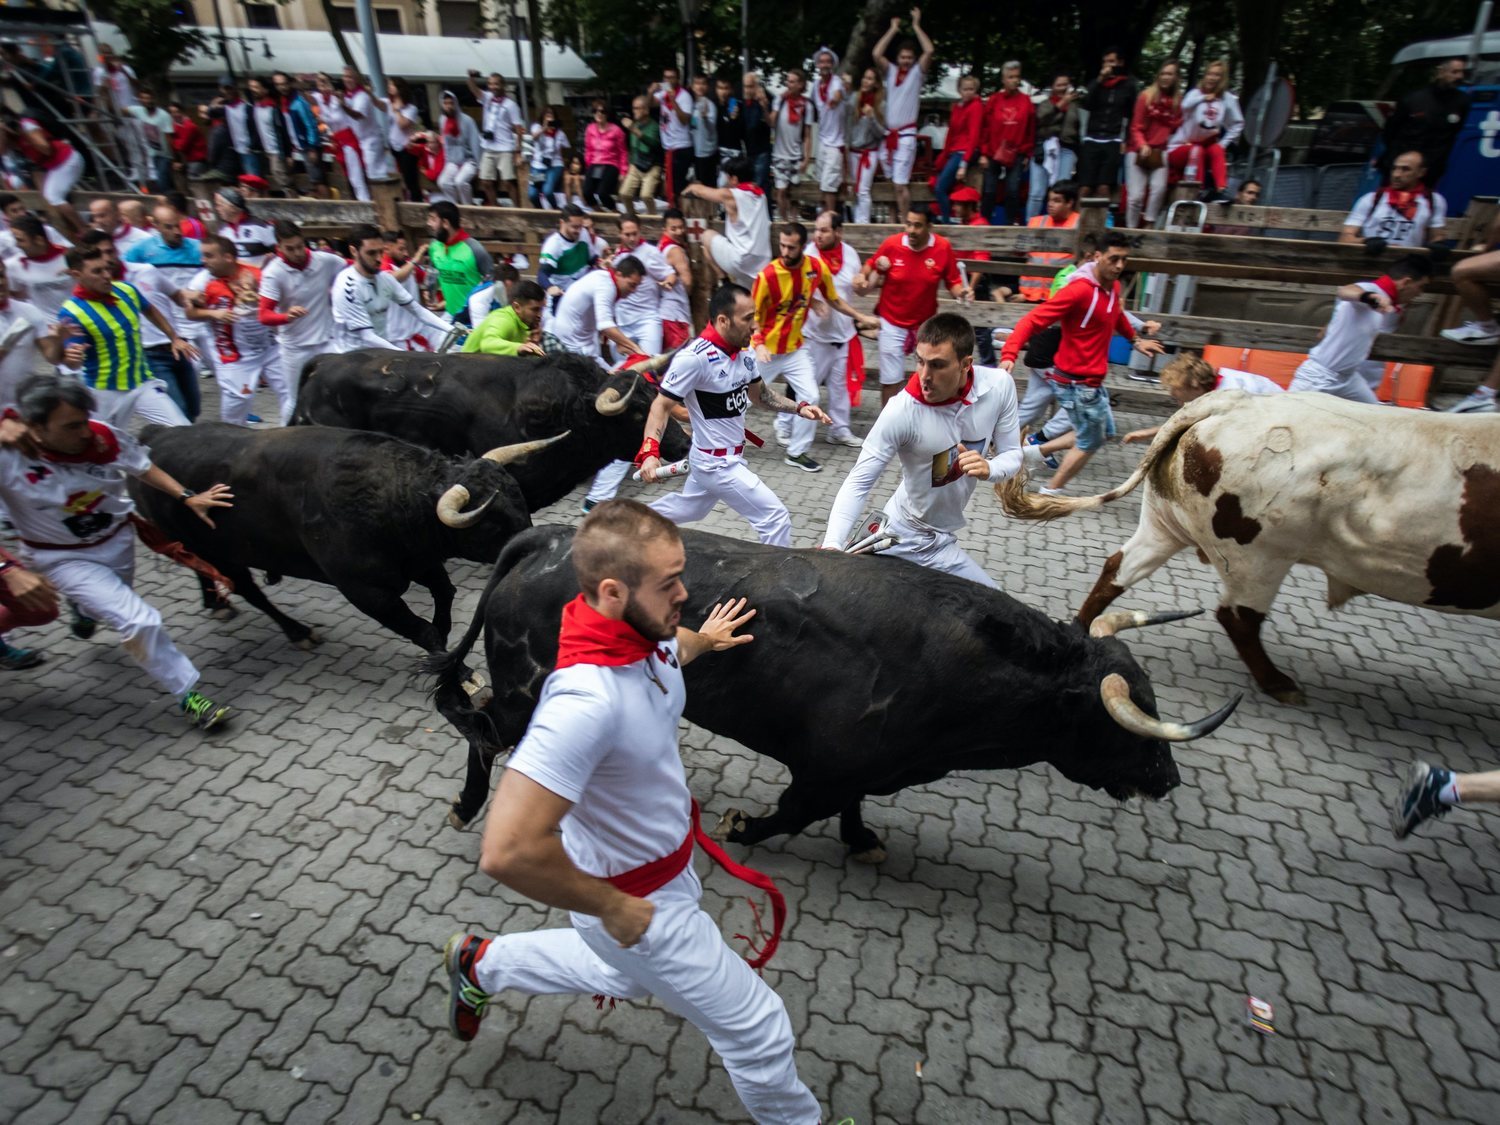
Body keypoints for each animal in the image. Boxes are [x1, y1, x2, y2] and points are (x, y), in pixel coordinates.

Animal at [426, 528, 1242, 864]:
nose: (1167, 778)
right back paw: (467, 804)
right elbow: (791, 812)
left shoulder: (864, 771)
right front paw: (742, 827)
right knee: (479, 725)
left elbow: (852, 808)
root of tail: (549, 537)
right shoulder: (823, 768)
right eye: (1127, 722)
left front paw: (861, 839)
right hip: (527, 687)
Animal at [1002, 390, 1500, 705]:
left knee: (1118, 568)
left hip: (1165, 524)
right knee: (1238, 616)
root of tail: (1233, 400)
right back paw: (1279, 683)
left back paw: (1081, 632)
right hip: (1259, 555)